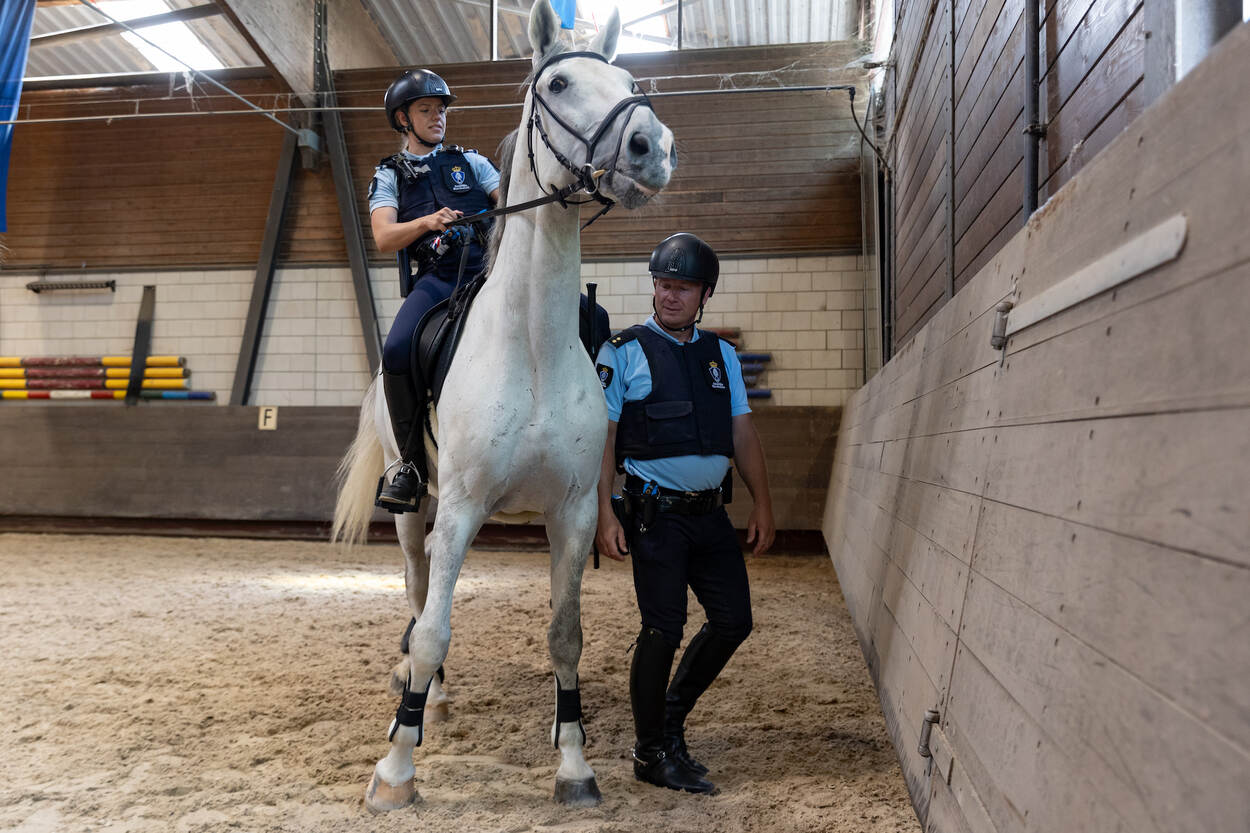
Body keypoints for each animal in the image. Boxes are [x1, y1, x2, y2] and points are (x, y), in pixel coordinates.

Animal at [331, 0, 675, 812]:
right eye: (557, 83)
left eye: (629, 82)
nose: (652, 147)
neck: (532, 346)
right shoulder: (458, 507)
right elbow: (432, 630)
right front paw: (396, 770)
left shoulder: (573, 512)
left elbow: (565, 634)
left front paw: (573, 762)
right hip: (415, 503)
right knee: (419, 587)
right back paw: (426, 701)